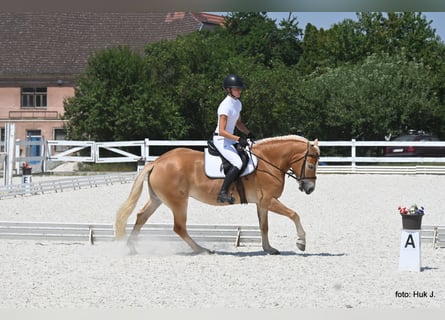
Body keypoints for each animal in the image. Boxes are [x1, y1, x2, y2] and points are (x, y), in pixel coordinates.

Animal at [114, 135, 320, 255]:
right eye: (311, 165)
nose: (310, 188)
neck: (268, 162)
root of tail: (157, 162)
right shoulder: (269, 200)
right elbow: (294, 214)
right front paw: (301, 242)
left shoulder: (262, 203)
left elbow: (264, 226)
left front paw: (268, 248)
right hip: (178, 202)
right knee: (179, 228)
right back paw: (202, 250)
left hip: (157, 199)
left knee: (141, 217)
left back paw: (131, 247)